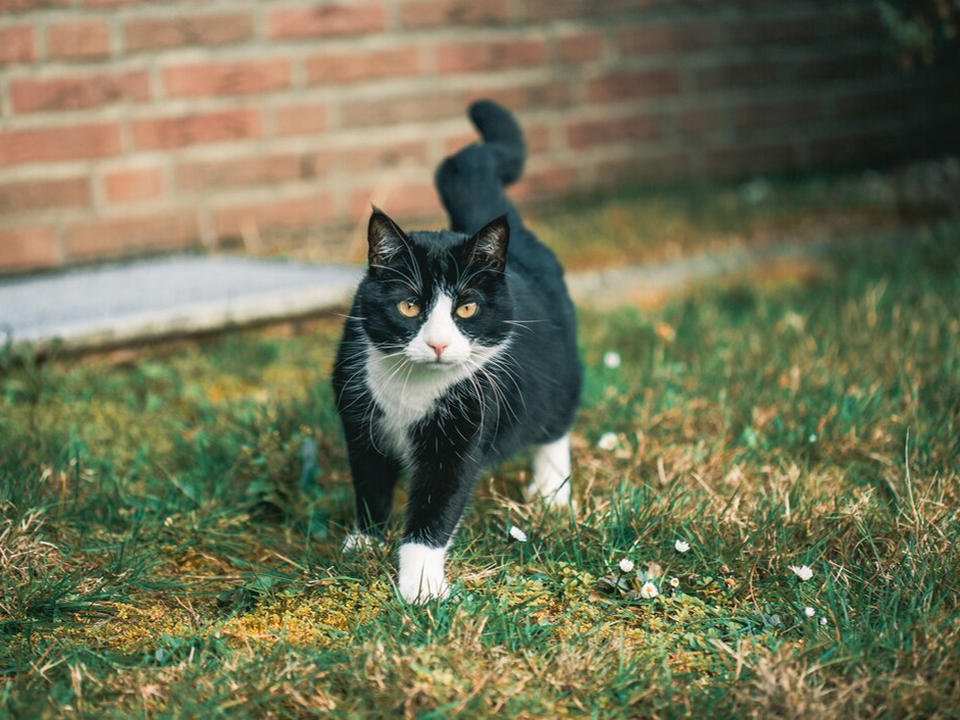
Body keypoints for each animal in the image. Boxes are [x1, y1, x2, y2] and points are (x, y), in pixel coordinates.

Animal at [334, 100, 580, 600]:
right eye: (409, 305)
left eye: (466, 307)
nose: (439, 342)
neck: (413, 389)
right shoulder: (357, 414)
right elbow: (369, 481)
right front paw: (365, 541)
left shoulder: (466, 426)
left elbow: (437, 505)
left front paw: (420, 589)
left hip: (562, 365)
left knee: (557, 419)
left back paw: (551, 490)